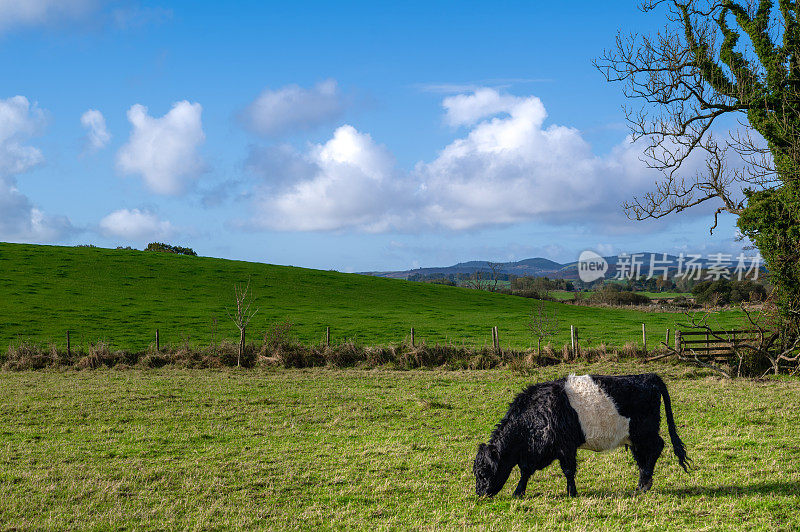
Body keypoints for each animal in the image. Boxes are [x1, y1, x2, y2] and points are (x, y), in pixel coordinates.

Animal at [472, 374, 692, 498]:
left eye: (483, 472)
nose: (480, 493)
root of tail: (649, 376)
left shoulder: (565, 447)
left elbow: (568, 470)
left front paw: (572, 493)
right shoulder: (535, 450)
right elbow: (526, 471)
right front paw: (518, 492)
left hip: (644, 432)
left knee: (657, 447)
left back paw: (643, 483)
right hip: (635, 437)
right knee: (643, 456)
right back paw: (643, 483)